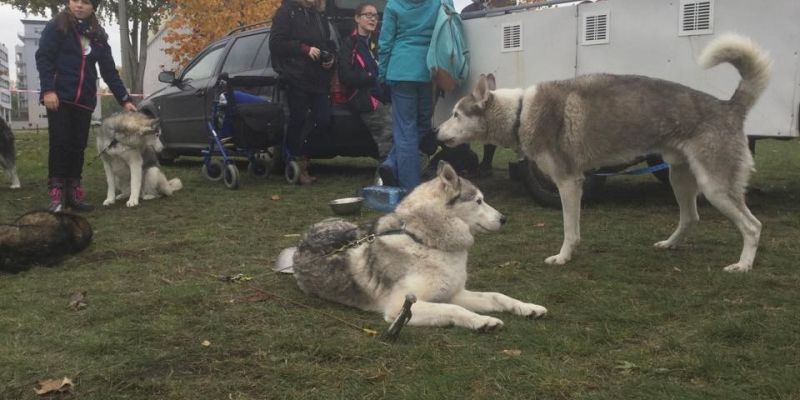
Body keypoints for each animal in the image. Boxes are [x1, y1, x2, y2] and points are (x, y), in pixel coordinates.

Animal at [278, 162, 548, 332]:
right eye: (479, 201)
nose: (504, 218)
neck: (425, 240)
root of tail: (303, 240)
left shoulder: (454, 293)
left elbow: (497, 296)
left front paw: (528, 308)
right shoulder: (401, 306)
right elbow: (453, 309)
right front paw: (482, 321)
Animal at [438, 34, 768, 272]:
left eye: (455, 114)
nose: (436, 133)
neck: (520, 112)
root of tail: (729, 106)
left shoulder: (569, 182)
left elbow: (570, 229)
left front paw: (563, 258)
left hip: (715, 188)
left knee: (753, 227)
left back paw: (743, 265)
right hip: (680, 179)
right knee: (691, 218)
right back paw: (670, 244)